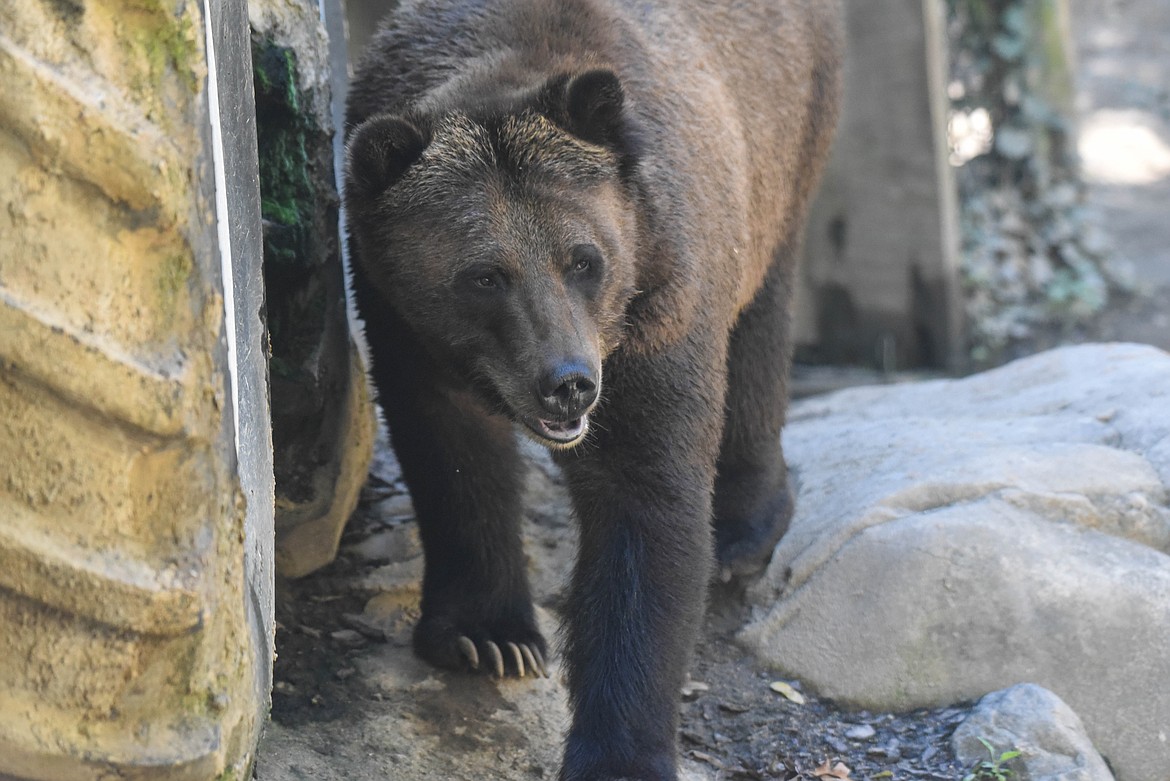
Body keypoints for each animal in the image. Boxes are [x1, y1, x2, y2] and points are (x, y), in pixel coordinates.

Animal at [341, 3, 837, 776]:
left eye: (583, 259)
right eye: (484, 275)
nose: (567, 384)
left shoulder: (655, 309)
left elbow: (646, 498)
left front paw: (618, 750)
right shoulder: (399, 315)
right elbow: (451, 451)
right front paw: (489, 635)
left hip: (783, 147)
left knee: (760, 319)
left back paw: (742, 527)